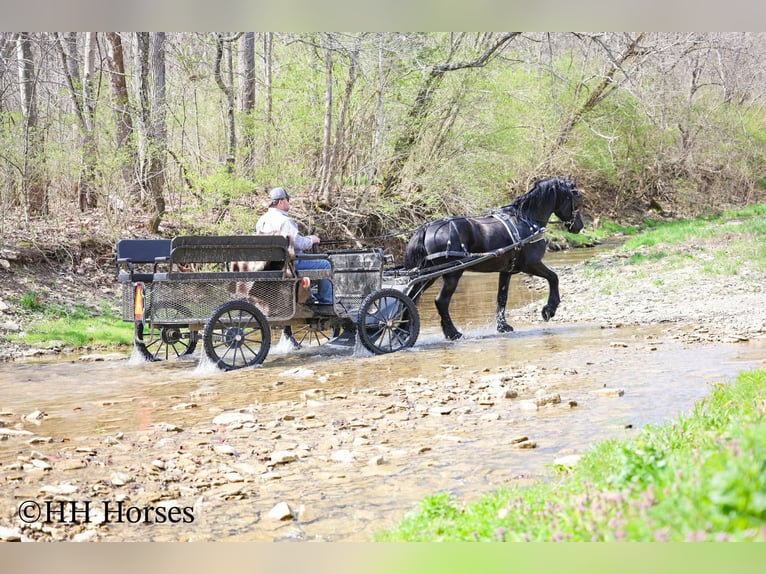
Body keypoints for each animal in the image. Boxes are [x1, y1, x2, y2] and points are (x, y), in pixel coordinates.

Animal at [403, 176, 584, 341]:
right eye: (577, 197)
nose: (579, 226)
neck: (527, 221)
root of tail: (427, 228)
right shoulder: (531, 264)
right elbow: (554, 277)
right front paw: (549, 310)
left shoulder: (507, 271)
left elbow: (501, 298)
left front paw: (503, 326)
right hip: (452, 274)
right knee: (441, 301)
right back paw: (452, 334)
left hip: (428, 275)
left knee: (411, 298)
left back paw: (403, 332)